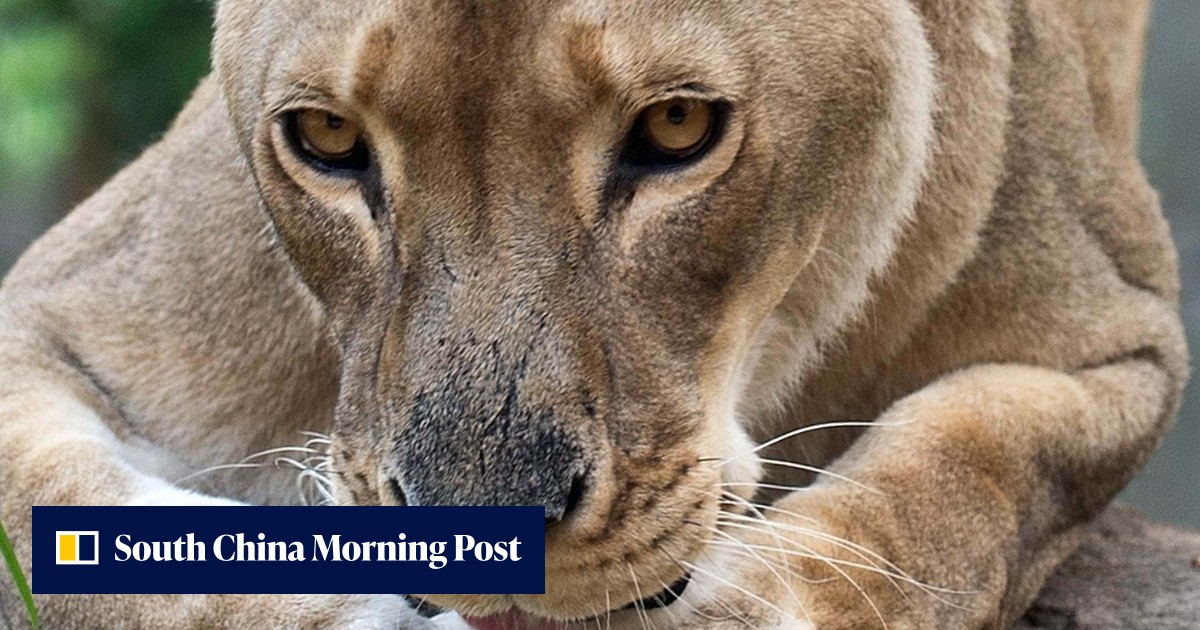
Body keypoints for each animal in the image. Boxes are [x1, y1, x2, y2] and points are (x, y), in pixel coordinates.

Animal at [0, 0, 1186, 628]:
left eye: (677, 127)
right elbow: (77, 547)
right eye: (328, 139)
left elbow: (955, 489)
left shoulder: (1118, 338)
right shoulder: (53, 310)